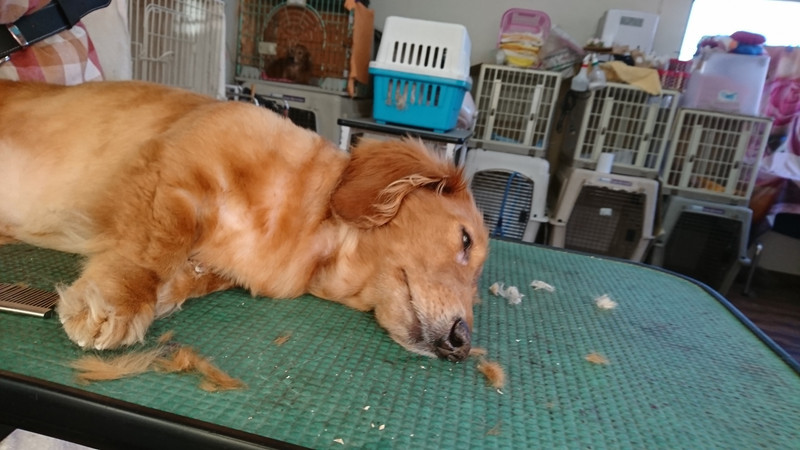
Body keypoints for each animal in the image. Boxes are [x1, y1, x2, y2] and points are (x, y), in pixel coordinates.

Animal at [0, 80, 488, 362]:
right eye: (465, 240)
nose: (461, 344)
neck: (308, 237)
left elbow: (187, 273)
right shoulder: (172, 164)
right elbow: (161, 245)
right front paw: (122, 299)